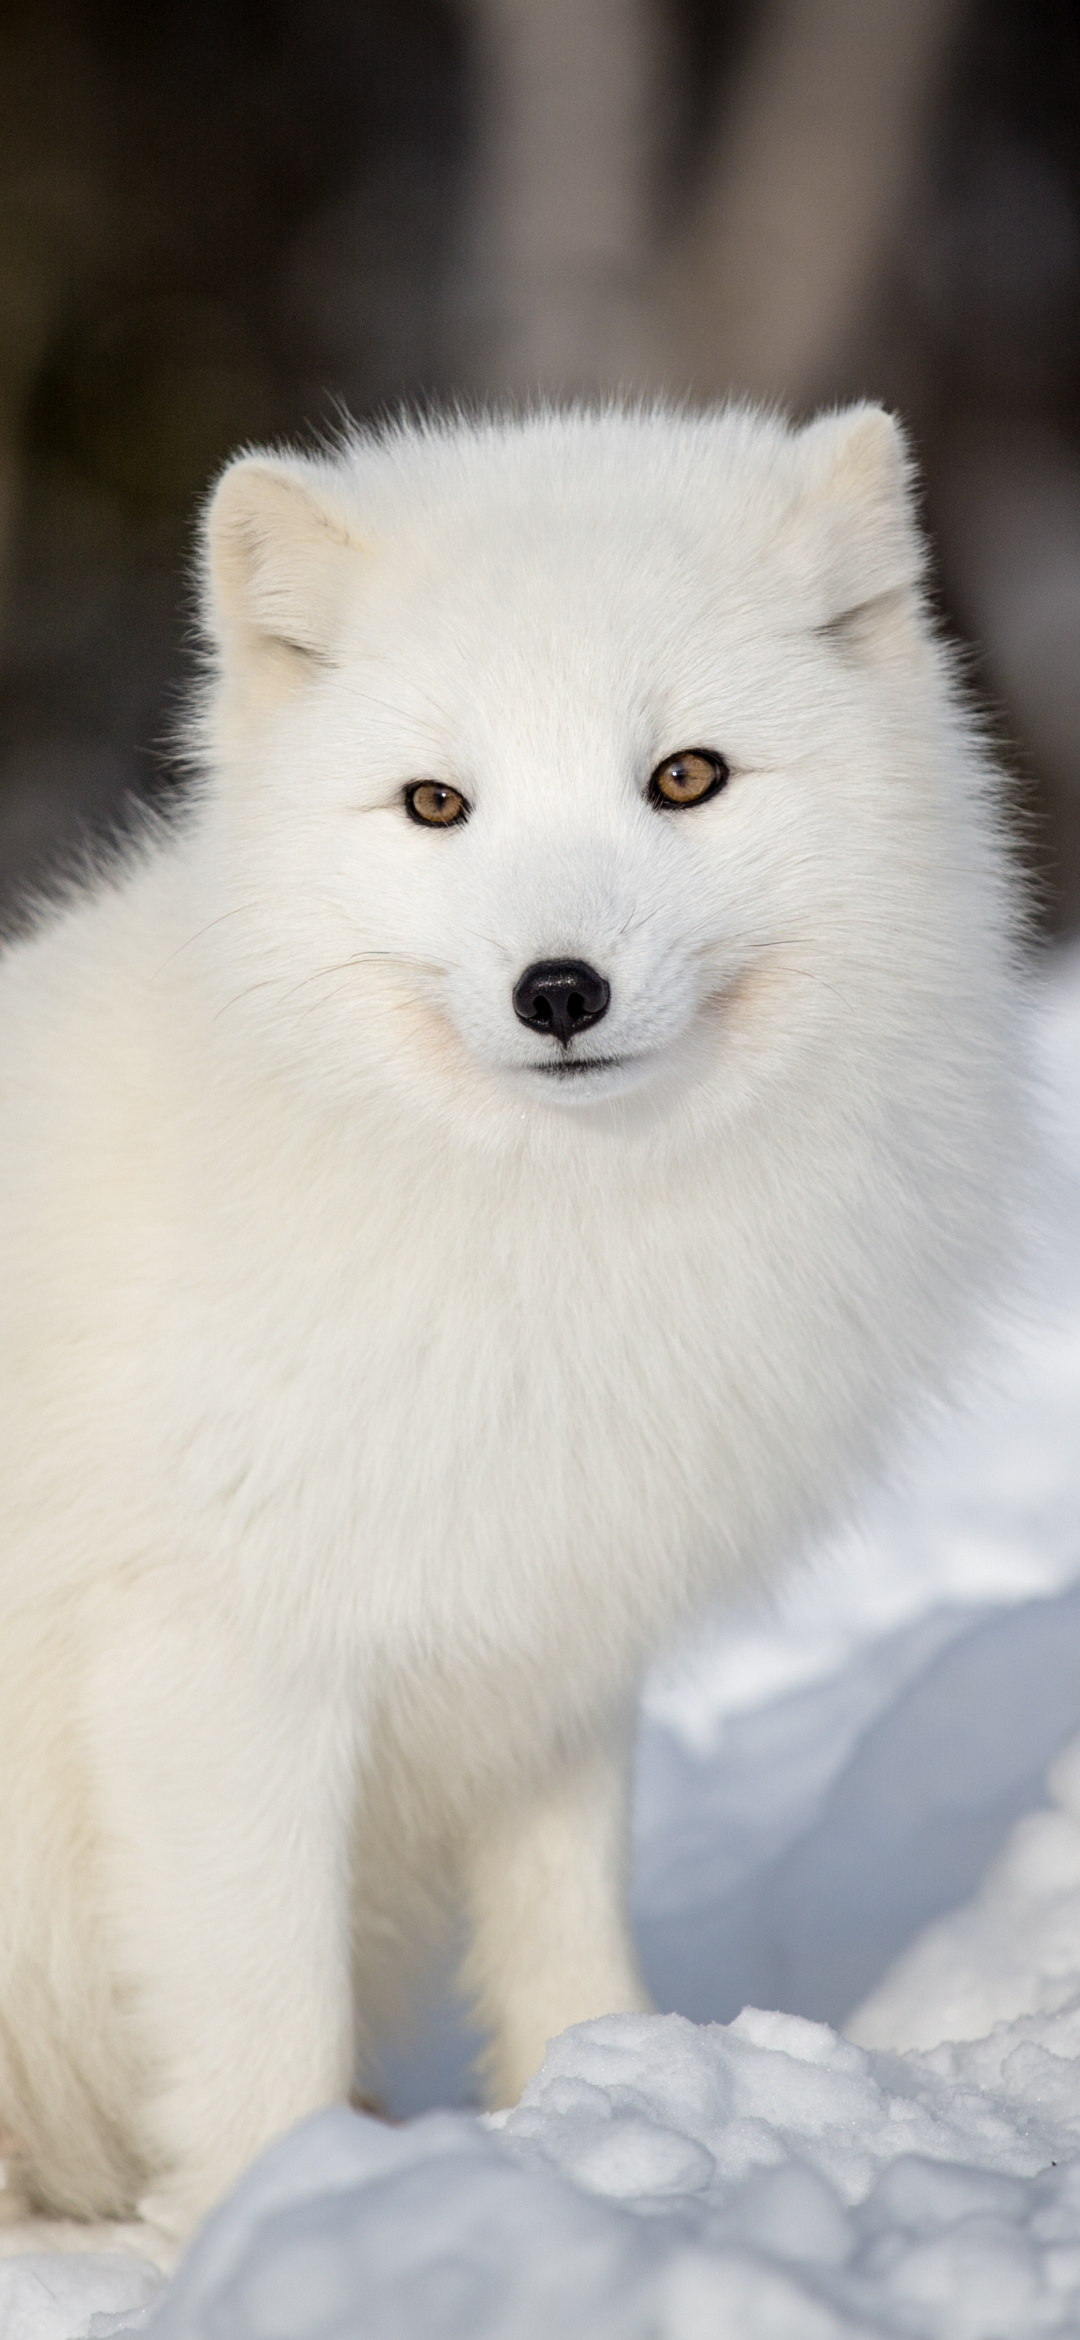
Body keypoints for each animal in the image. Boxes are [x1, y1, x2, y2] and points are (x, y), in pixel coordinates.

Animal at [0, 402, 1019, 2227]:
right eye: (436, 803)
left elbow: (565, 1938)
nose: (560, 992)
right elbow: (260, 2016)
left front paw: (613, 2112)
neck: (543, 1244)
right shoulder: (216, 1670)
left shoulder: (552, 1646)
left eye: (684, 776)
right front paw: (275, 2211)